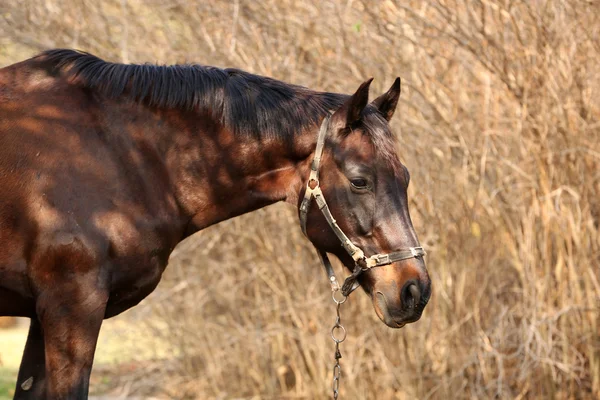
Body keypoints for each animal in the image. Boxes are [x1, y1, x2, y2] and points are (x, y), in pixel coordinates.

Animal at [0, 50, 432, 400]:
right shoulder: (72, 307)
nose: (415, 291)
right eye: (360, 181)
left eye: (407, 178)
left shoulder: (44, 317)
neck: (115, 152)